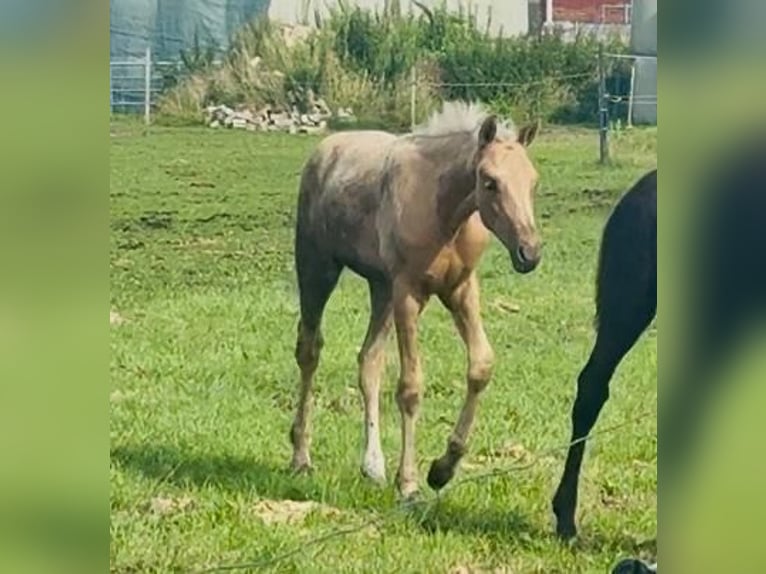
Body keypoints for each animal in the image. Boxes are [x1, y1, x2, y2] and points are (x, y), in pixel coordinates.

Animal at [289, 101, 542, 497]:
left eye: (532, 181)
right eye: (489, 182)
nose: (529, 253)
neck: (444, 213)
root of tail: (326, 148)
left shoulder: (460, 288)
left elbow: (481, 365)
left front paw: (443, 468)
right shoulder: (408, 293)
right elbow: (410, 387)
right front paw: (408, 483)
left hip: (381, 288)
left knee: (369, 360)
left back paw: (373, 466)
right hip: (318, 266)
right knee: (309, 349)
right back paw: (301, 456)